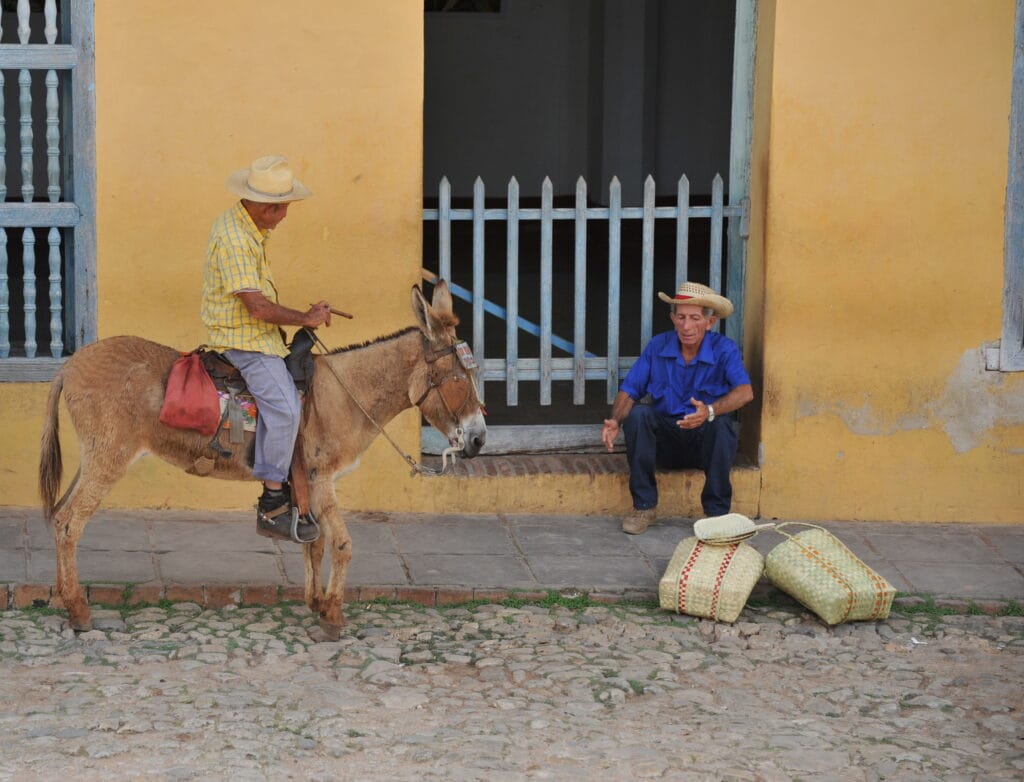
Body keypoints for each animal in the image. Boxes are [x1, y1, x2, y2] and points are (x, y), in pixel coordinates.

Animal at [38, 280, 486, 640]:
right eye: (460, 379)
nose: (479, 439)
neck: (346, 393)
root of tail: (69, 365)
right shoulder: (320, 477)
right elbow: (341, 544)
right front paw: (333, 617)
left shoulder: (309, 482)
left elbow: (315, 543)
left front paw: (317, 603)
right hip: (109, 457)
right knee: (70, 523)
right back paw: (79, 611)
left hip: (94, 456)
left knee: (59, 517)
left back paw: (63, 600)